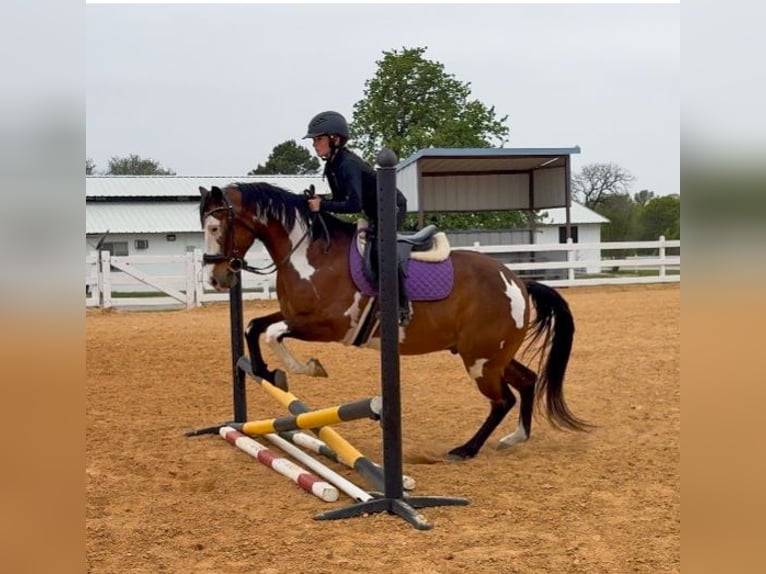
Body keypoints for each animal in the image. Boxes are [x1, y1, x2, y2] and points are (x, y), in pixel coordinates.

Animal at [199, 182, 589, 459]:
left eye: (215, 227)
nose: (217, 279)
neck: (309, 253)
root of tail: (518, 281)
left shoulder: (329, 326)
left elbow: (274, 334)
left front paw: (307, 368)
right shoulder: (296, 315)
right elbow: (255, 327)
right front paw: (265, 372)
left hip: (481, 360)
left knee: (503, 399)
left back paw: (467, 449)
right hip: (492, 355)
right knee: (526, 381)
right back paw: (514, 437)